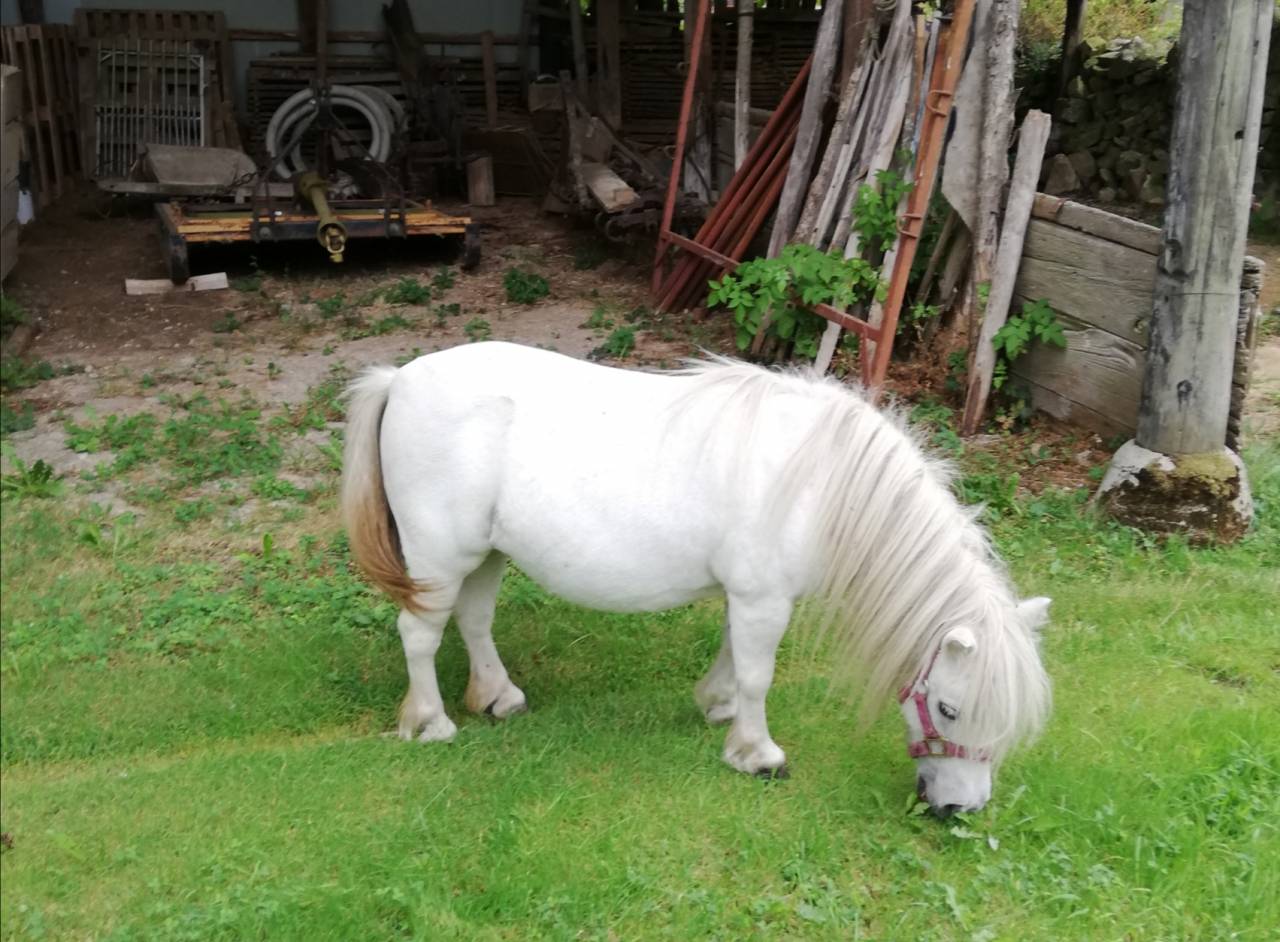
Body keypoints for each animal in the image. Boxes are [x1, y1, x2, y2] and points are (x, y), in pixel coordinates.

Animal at [341, 341, 1052, 814]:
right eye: (948, 708)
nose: (960, 808)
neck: (822, 482)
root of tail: (399, 380)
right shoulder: (764, 598)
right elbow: (759, 673)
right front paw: (758, 754)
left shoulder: (751, 596)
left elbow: (735, 655)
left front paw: (720, 707)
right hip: (439, 559)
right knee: (420, 636)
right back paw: (431, 722)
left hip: (484, 553)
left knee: (475, 620)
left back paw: (498, 696)